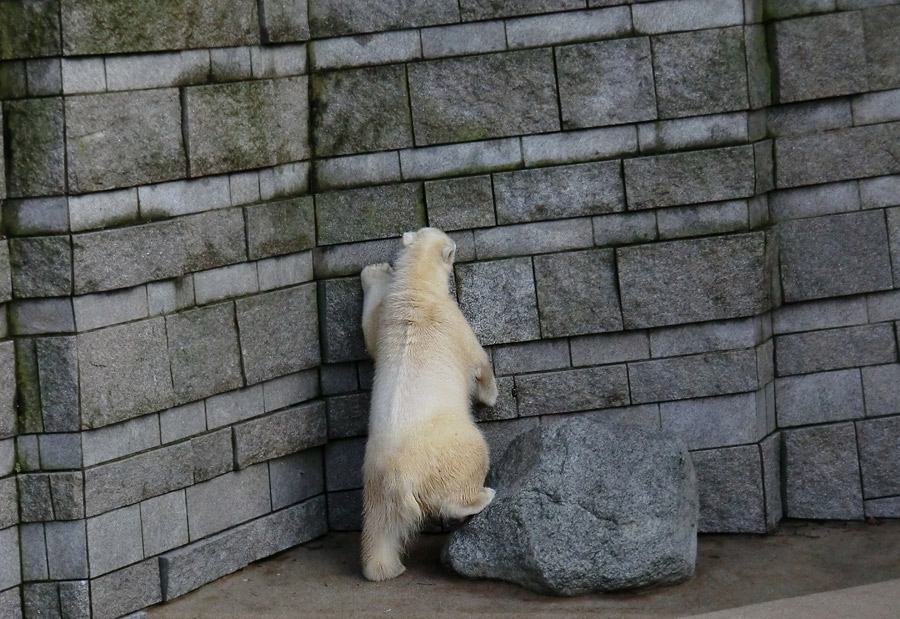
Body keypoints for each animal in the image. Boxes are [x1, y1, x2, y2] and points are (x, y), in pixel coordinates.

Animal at [358, 226, 500, 580]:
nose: (456, 245)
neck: (416, 290)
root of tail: (401, 475)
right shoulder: (453, 320)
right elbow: (478, 361)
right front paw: (491, 395)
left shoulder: (387, 316)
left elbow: (369, 332)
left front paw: (374, 271)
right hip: (451, 449)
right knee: (469, 465)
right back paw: (483, 495)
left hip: (375, 481)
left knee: (380, 527)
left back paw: (384, 568)